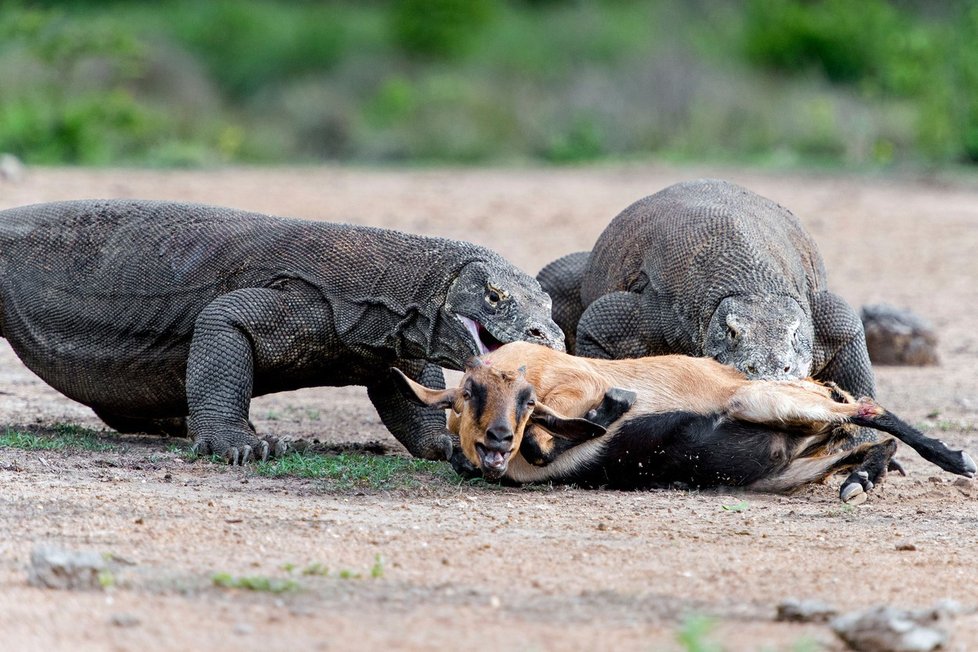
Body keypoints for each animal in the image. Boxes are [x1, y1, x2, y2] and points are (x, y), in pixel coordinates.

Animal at [392, 342, 972, 500]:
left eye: (527, 399)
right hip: (791, 458)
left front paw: (614, 406)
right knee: (857, 436)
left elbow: (548, 438)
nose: (496, 439)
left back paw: (954, 460)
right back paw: (861, 479)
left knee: (870, 410)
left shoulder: (574, 382)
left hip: (760, 400)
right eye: (469, 392)